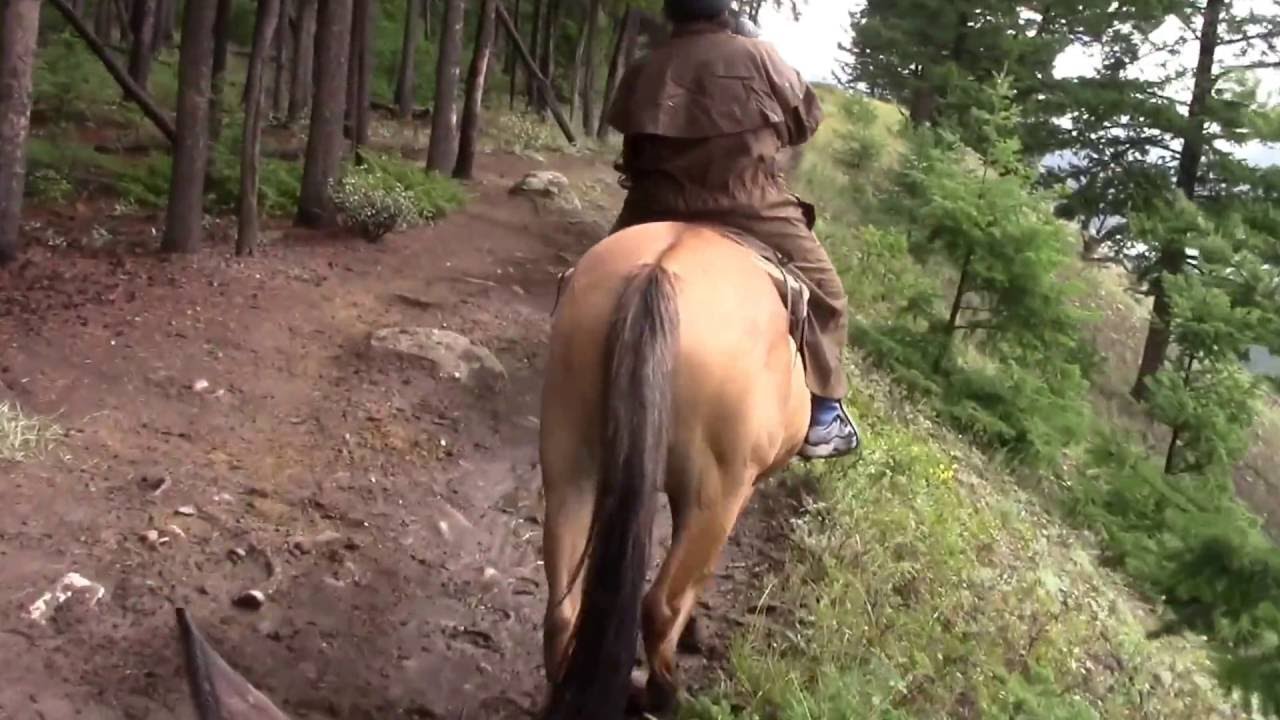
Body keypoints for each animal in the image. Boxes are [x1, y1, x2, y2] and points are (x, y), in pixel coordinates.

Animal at [538, 221, 812, 720]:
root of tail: (657, 271)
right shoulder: (734, 493)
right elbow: (694, 582)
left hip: (568, 460)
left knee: (563, 606)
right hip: (716, 495)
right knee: (660, 604)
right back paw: (663, 693)